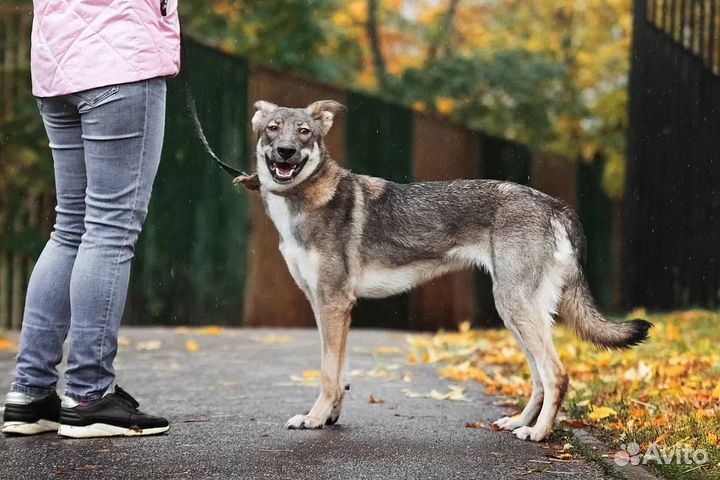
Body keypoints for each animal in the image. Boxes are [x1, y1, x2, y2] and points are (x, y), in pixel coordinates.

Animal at [236, 99, 652, 440]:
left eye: (304, 132)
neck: (303, 199)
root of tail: (553, 204)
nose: (286, 152)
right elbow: (338, 374)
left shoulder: (333, 304)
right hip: (515, 313)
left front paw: (313, 419)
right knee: (538, 376)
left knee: (557, 373)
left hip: (517, 308)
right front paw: (330, 417)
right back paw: (519, 422)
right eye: (272, 128)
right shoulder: (334, 308)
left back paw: (538, 433)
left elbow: (327, 374)